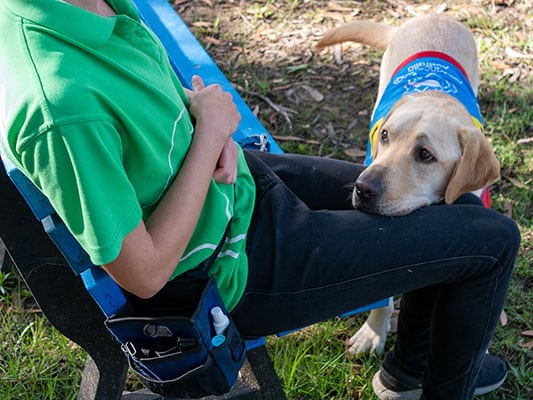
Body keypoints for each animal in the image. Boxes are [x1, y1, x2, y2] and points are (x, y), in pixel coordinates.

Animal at [318, 14, 500, 354]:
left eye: (425, 154)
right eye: (384, 135)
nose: (362, 188)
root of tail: (435, 16)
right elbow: (381, 298)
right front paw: (374, 332)